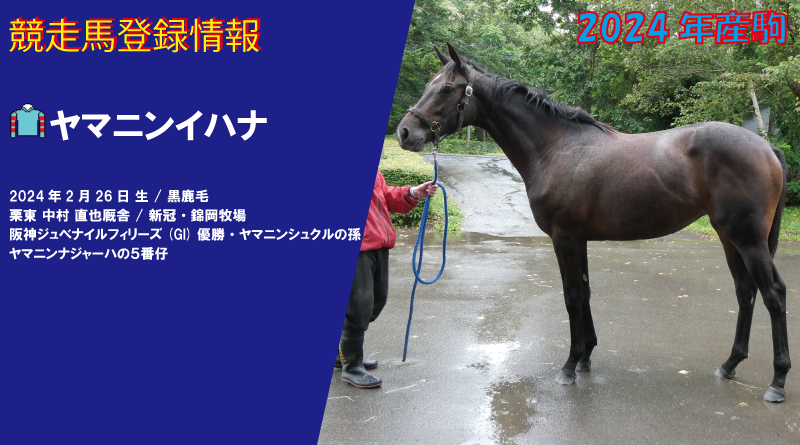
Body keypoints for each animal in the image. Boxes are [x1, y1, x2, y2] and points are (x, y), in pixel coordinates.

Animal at [396, 43, 790, 403]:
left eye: (447, 89)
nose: (404, 132)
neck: (555, 148)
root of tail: (766, 147)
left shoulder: (565, 238)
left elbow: (571, 297)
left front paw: (570, 366)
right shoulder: (579, 240)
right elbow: (584, 293)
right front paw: (586, 357)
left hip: (748, 240)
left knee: (773, 294)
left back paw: (777, 382)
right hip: (729, 237)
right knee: (745, 292)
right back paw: (730, 364)